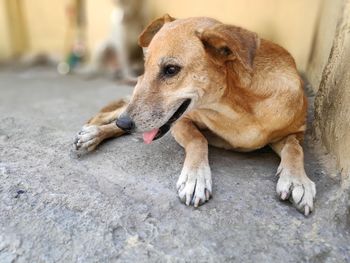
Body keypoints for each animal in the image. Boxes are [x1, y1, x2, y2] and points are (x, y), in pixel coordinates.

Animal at [75, 14, 316, 217]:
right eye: (146, 65)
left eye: (171, 69)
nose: (124, 124)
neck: (238, 104)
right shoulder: (183, 120)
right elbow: (198, 140)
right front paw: (196, 177)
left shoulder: (294, 132)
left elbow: (295, 149)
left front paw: (297, 180)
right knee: (118, 110)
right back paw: (94, 132)